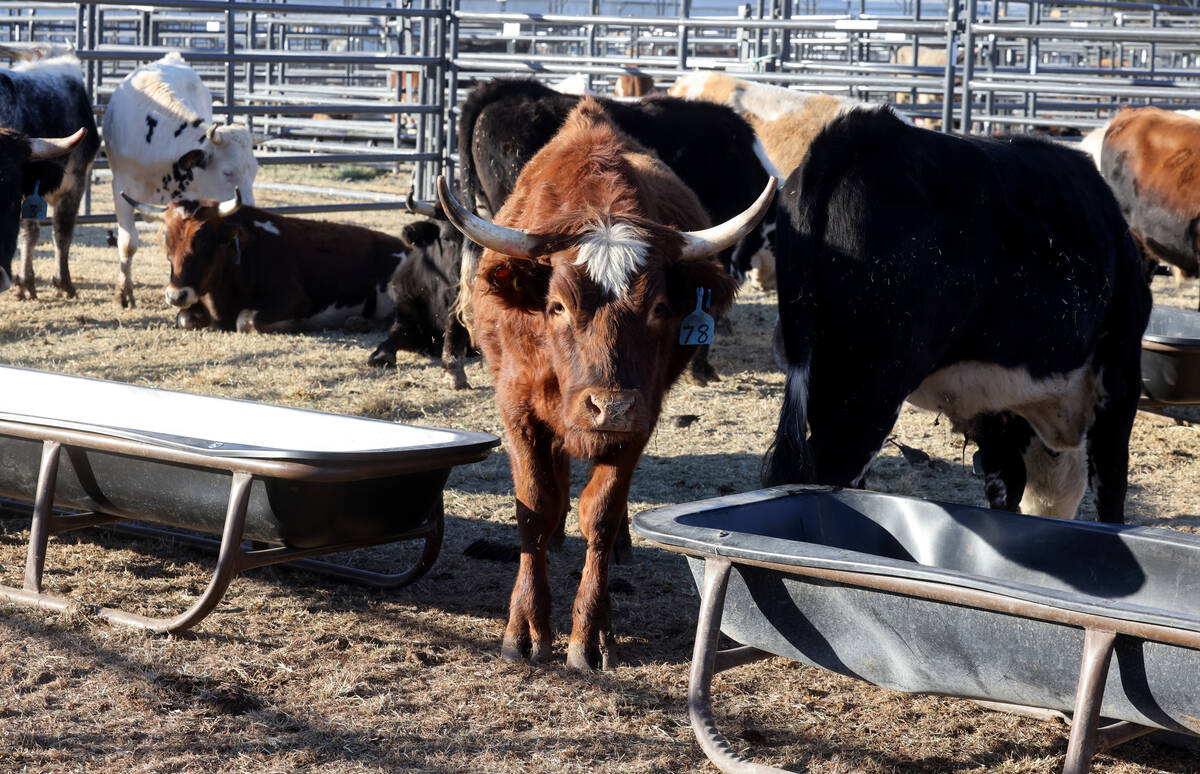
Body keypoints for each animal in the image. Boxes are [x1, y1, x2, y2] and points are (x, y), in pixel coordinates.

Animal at [122, 192, 405, 331]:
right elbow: (183, 318)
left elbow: (245, 320)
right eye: (166, 241)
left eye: (204, 240)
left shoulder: (293, 300)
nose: (176, 295)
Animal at [441, 93, 777, 667]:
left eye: (660, 307)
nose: (609, 406)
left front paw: (591, 633)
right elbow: (534, 508)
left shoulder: (641, 418)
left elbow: (598, 511)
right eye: (556, 305)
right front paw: (526, 626)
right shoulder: (517, 408)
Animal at [763, 107, 1147, 525]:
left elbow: (1007, 488)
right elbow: (1110, 488)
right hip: (869, 390)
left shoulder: (997, 412)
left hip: (820, 373)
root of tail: (855, 135)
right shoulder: (1120, 372)